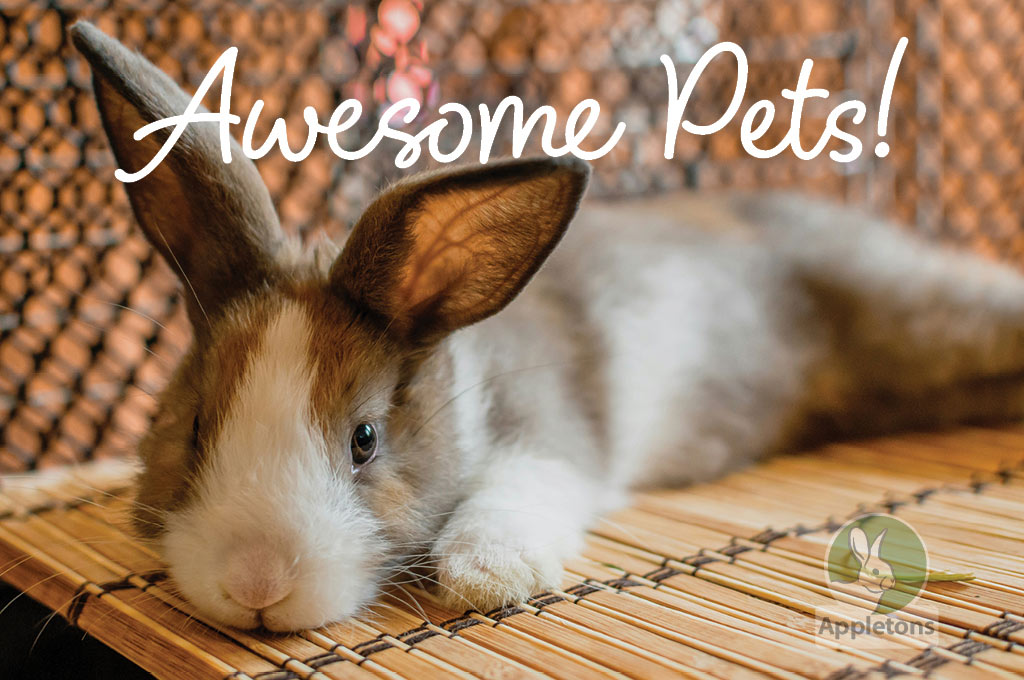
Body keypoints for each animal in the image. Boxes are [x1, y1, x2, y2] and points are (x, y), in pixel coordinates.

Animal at [72, 21, 1024, 632]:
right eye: (195, 428)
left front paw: (488, 577)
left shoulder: (554, 430)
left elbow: (523, 488)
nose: (257, 584)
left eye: (365, 440)